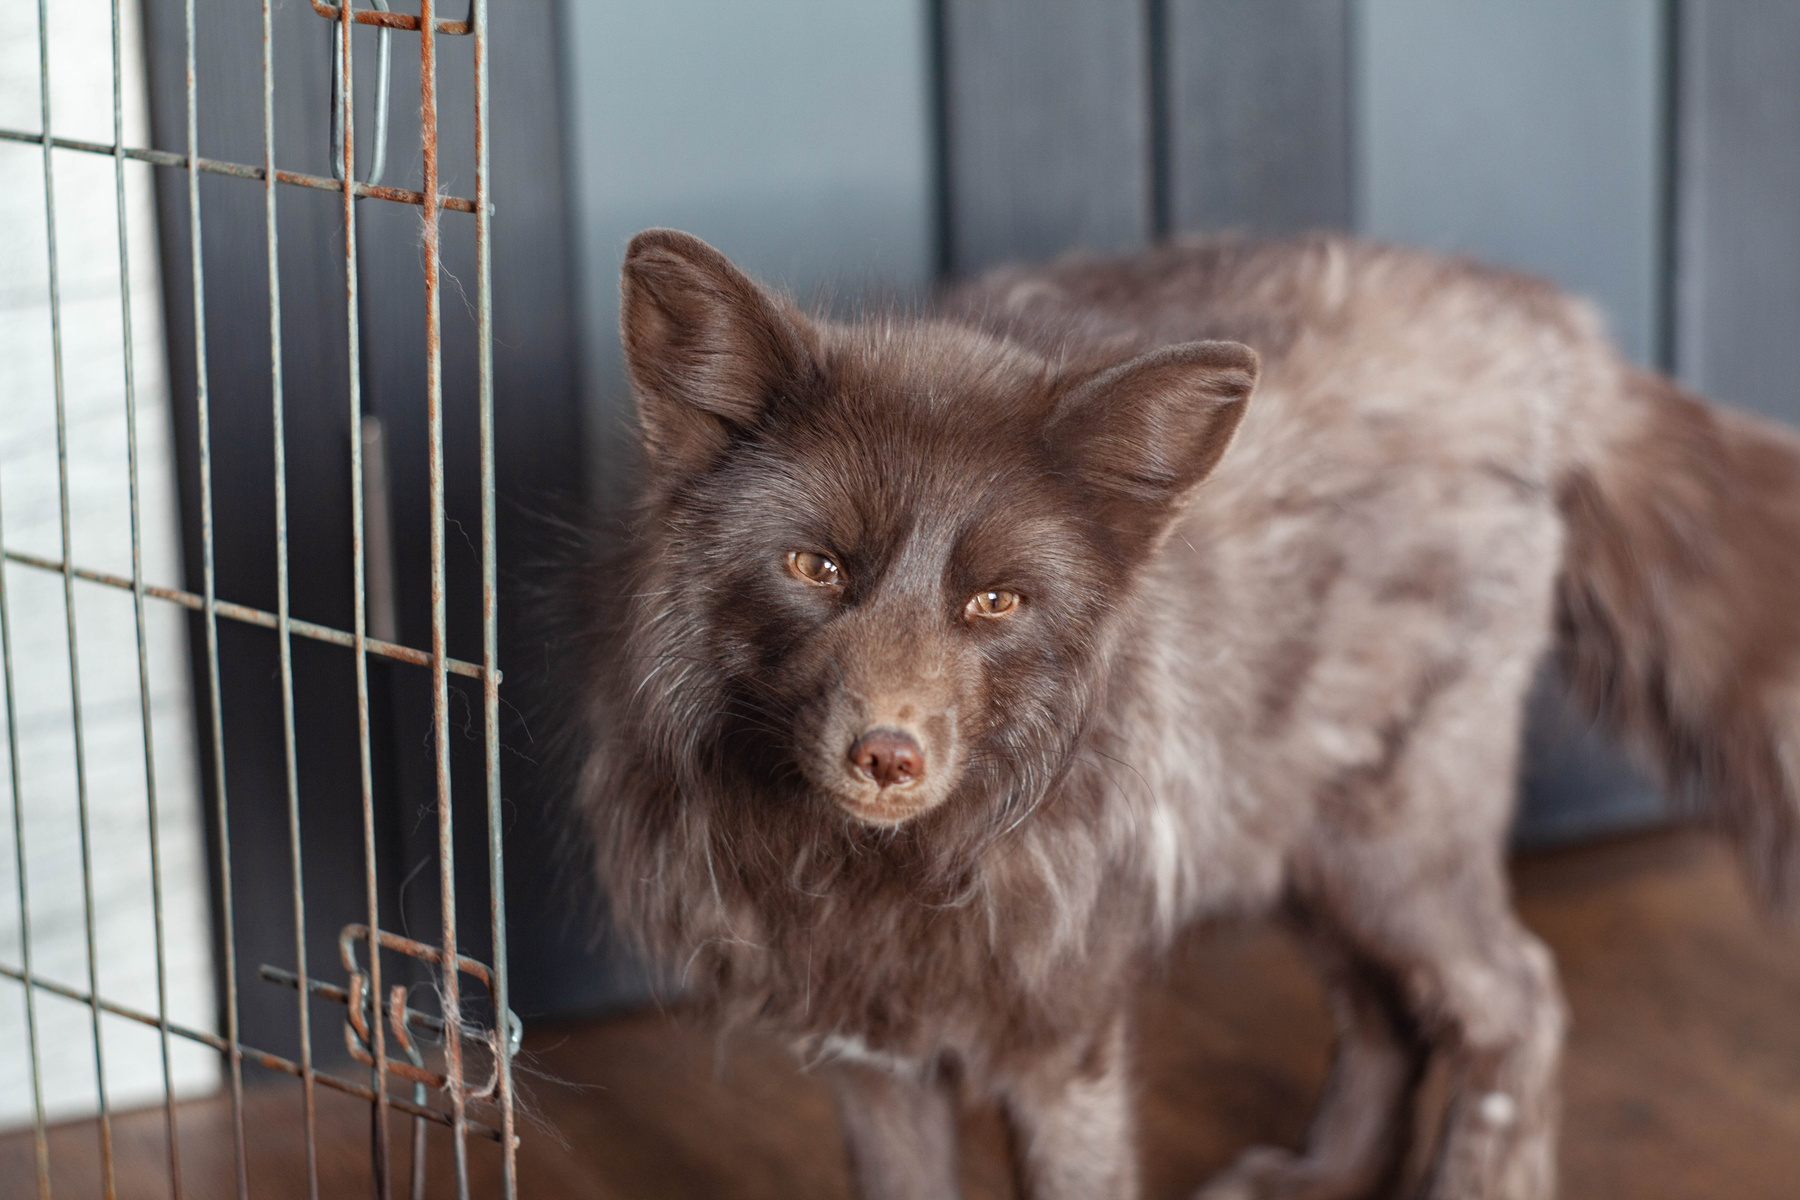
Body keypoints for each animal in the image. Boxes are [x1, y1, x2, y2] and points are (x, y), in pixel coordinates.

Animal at [561, 227, 1800, 1200]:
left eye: (996, 601)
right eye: (816, 568)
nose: (888, 757)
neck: (895, 881)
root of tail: (1544, 326)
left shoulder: (1064, 1049)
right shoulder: (870, 1058)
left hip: (1387, 848)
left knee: (1517, 1005)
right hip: (1287, 840)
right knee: (1385, 1014)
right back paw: (1319, 1178)